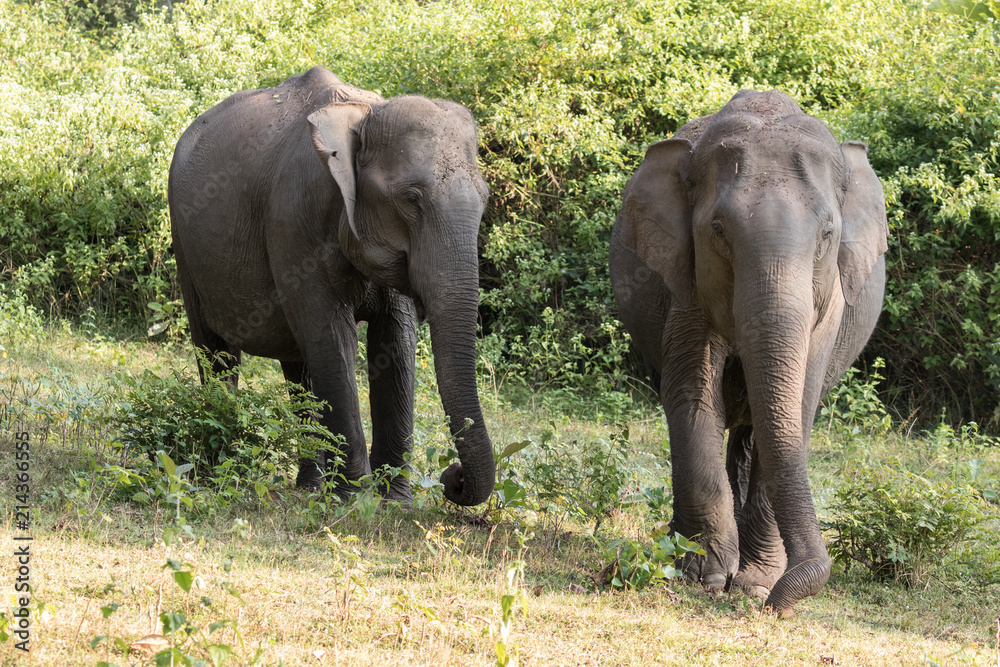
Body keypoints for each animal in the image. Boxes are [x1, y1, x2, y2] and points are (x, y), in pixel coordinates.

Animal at [168, 66, 494, 507]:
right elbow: (333, 338)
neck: (365, 114)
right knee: (217, 354)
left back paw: (308, 487)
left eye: (485, 198)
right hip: (184, 244)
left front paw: (395, 501)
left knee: (300, 366)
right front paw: (356, 499)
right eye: (411, 198)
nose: (452, 476)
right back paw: (221, 473)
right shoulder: (293, 218)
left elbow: (395, 342)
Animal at [610, 90, 888, 615]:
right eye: (718, 230)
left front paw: (756, 584)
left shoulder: (829, 310)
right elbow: (692, 395)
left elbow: (796, 407)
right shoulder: (686, 285)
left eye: (827, 234)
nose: (778, 607)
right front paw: (707, 577)